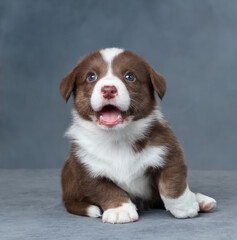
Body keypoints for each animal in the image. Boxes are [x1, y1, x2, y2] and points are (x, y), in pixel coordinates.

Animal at [59, 47, 217, 224]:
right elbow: (105, 189)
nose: (108, 90)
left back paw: (200, 200)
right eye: (91, 76)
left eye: (130, 76)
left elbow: (172, 184)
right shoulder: (85, 167)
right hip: (69, 178)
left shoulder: (169, 152)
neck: (117, 137)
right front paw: (120, 210)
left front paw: (185, 207)